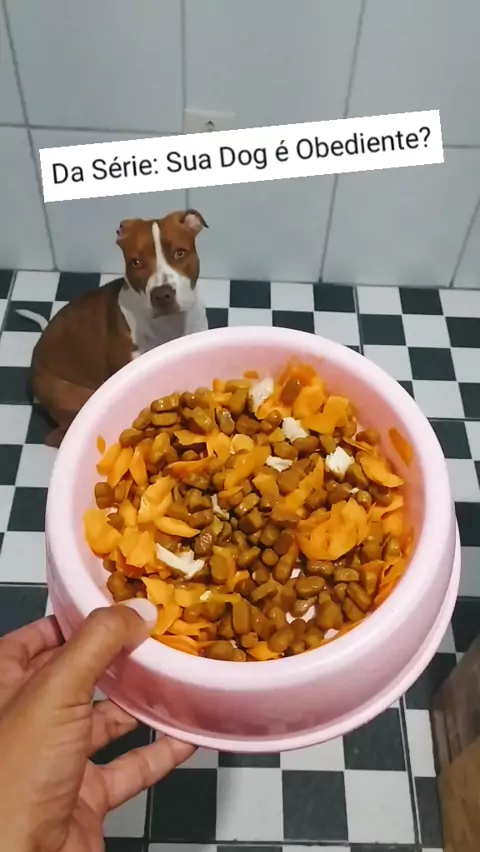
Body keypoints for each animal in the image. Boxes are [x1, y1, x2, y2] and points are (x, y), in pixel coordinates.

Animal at [20, 209, 208, 447]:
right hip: (74, 397)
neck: (168, 325)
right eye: (135, 262)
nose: (161, 295)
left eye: (179, 253)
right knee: (54, 436)